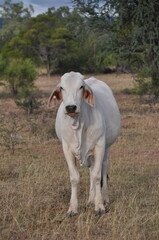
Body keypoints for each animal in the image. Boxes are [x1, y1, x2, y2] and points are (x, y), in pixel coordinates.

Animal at [48, 71, 120, 218]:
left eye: (81, 87)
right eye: (62, 87)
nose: (71, 107)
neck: (78, 124)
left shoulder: (99, 146)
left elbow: (97, 176)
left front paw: (99, 207)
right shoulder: (67, 149)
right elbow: (75, 178)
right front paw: (72, 209)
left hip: (107, 149)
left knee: (103, 170)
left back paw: (104, 198)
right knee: (91, 171)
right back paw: (90, 200)